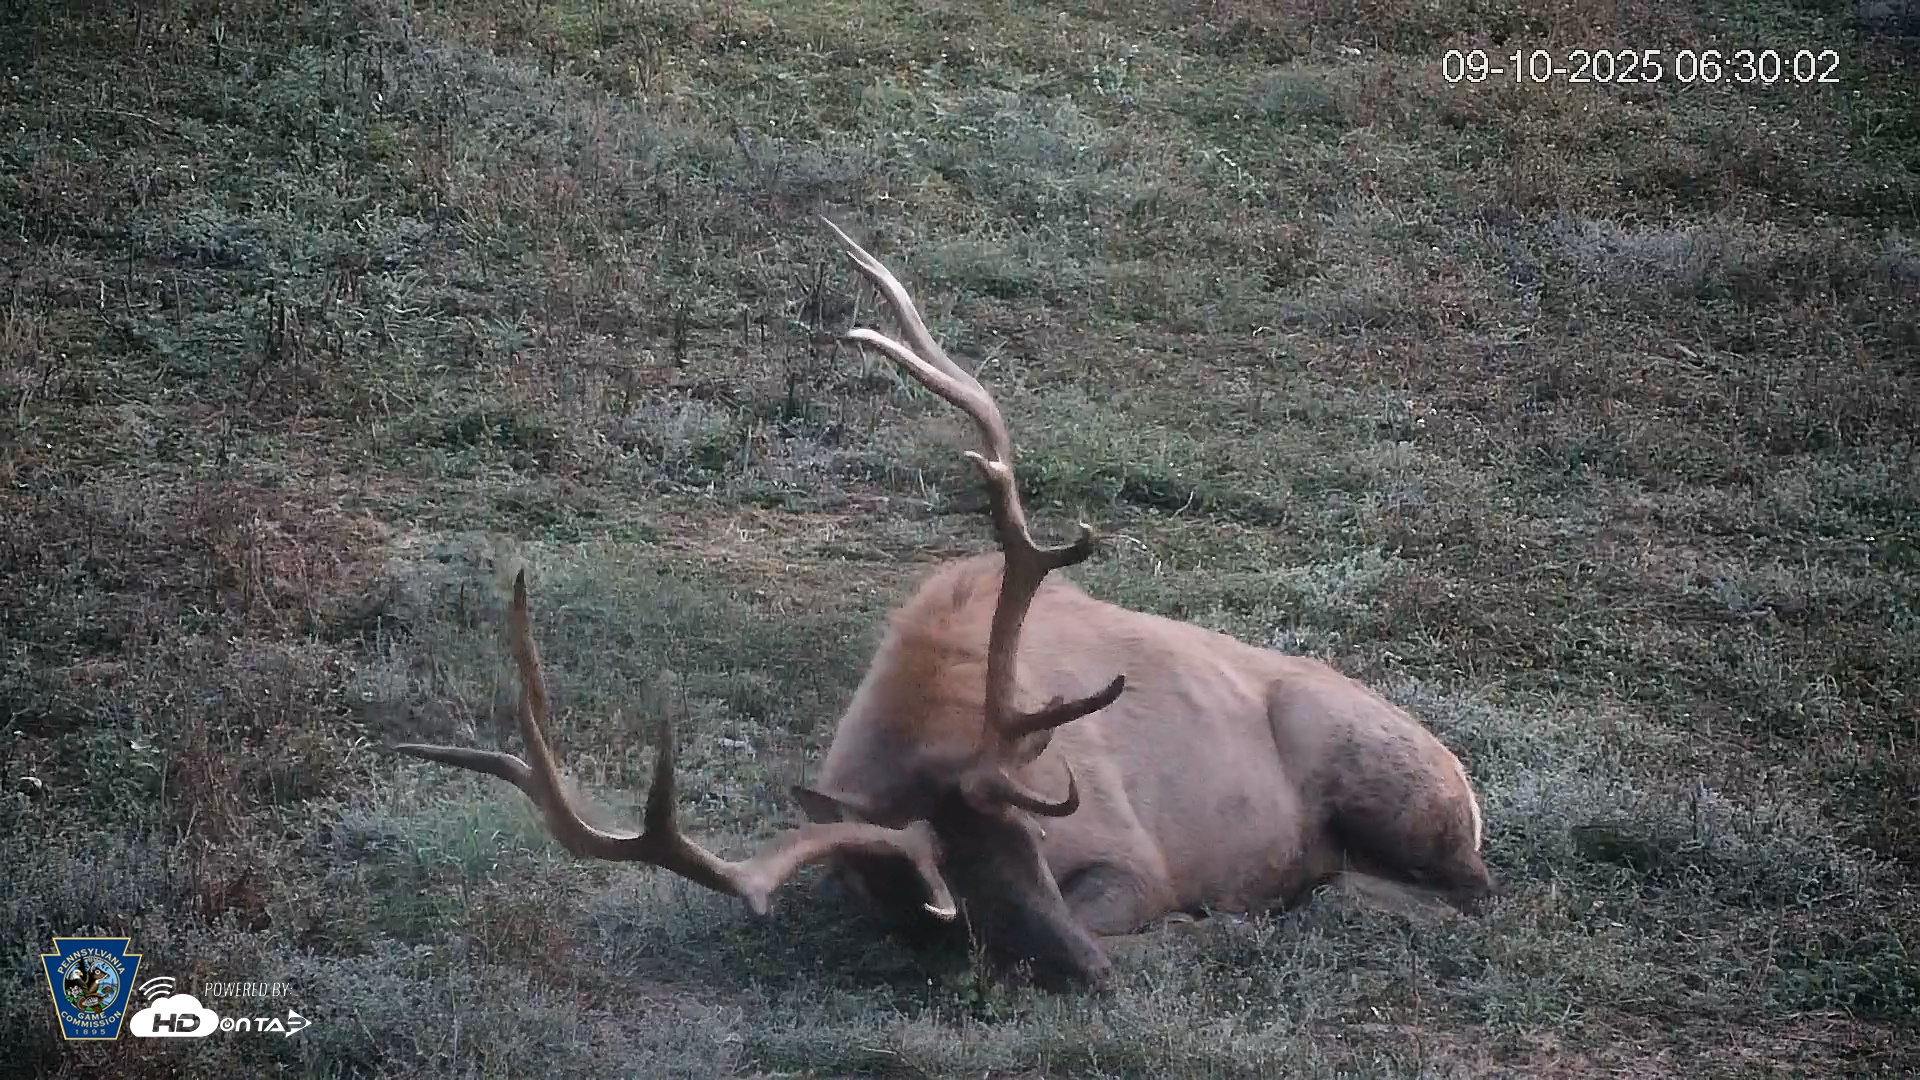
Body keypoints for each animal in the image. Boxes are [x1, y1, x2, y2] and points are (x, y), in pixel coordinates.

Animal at [392, 218, 1494, 989]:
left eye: (1036, 845)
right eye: (947, 895)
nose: (1091, 976)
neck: (937, 697)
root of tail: (1461, 775)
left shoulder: (1134, 859)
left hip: (1389, 778)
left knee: (1468, 892)